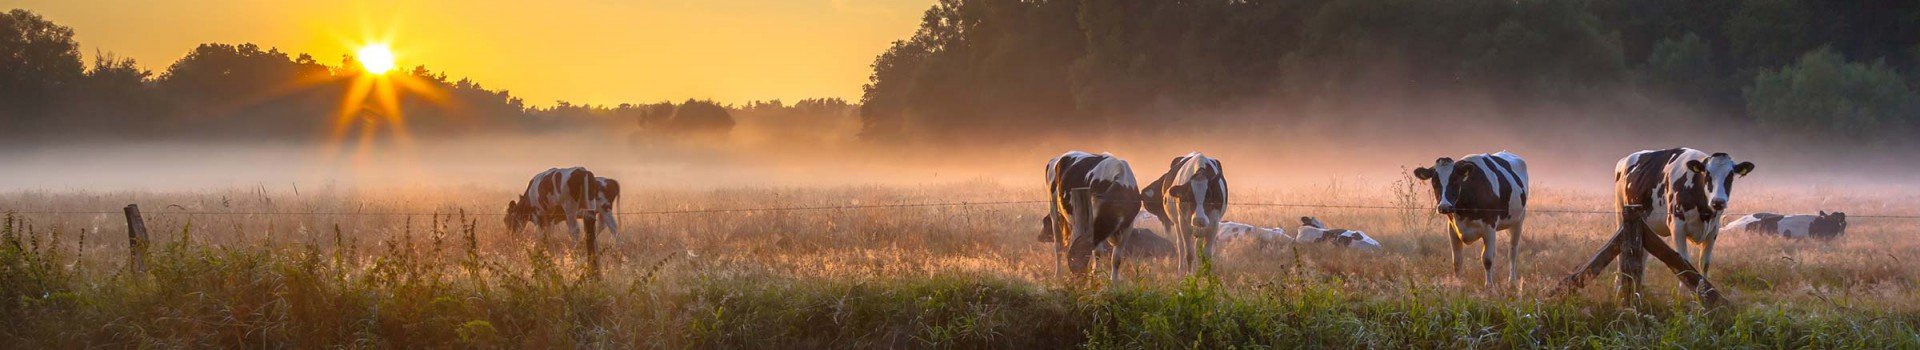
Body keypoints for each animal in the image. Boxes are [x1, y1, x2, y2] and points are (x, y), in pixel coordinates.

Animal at [1052, 150, 1136, 280]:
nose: (1077, 274)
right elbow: (1097, 254)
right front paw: (1095, 277)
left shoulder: (1128, 225)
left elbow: (1116, 259)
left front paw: (1114, 282)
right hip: (1054, 209)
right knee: (1058, 244)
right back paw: (1057, 275)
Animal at [1413, 150, 1528, 286]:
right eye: (1434, 183)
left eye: (1455, 181)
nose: (1444, 207)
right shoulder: (1452, 228)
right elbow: (1457, 260)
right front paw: (1457, 284)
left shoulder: (1489, 226)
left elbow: (1487, 259)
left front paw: (1489, 286)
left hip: (1518, 221)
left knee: (1512, 252)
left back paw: (1512, 281)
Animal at [1612, 148, 1751, 278]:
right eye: (1707, 174)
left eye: (1730, 175)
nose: (1718, 202)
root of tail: (1625, 159)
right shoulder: (1676, 227)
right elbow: (1685, 265)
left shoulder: (1713, 230)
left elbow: (1705, 263)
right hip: (1621, 214)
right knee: (1621, 254)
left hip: (1647, 226)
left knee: (1644, 254)